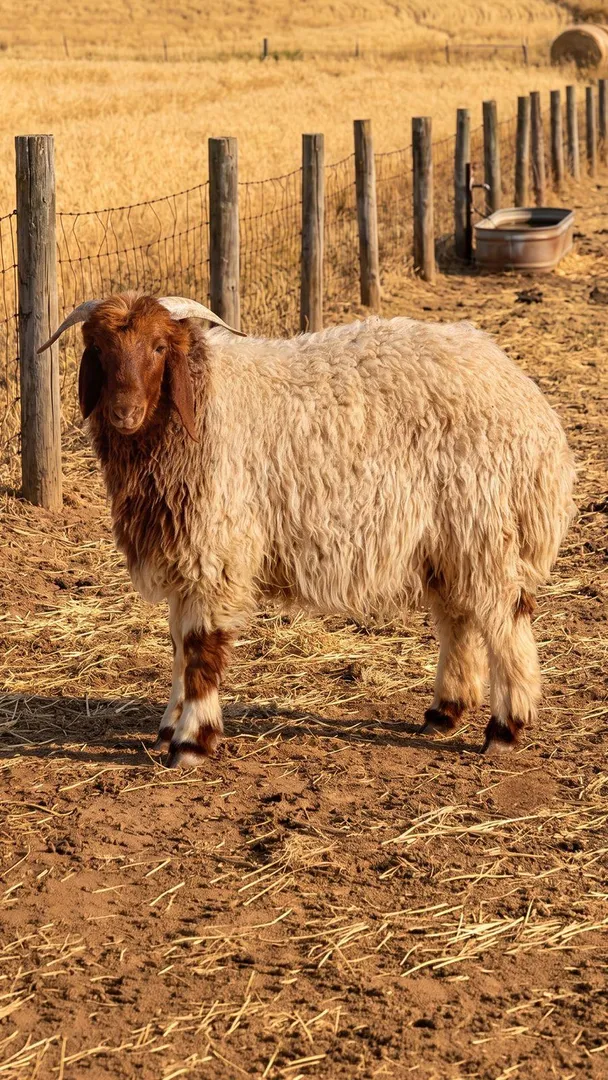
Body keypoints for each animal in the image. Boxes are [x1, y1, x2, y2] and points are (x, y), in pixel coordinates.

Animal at [39, 293, 575, 767]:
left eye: (157, 348)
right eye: (100, 350)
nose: (123, 413)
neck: (202, 405)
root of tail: (520, 389)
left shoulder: (218, 550)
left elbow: (199, 649)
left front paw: (191, 741)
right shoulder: (187, 553)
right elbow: (177, 645)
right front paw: (169, 726)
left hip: (483, 526)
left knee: (505, 620)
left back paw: (505, 728)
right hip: (448, 540)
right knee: (459, 618)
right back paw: (445, 712)